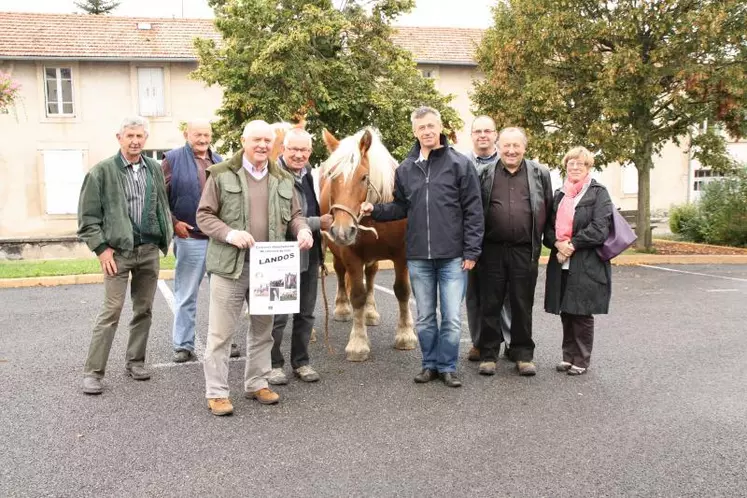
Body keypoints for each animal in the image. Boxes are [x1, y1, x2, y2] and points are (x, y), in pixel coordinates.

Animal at [318, 127, 418, 362]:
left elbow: (402, 291)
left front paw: (405, 335)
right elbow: (357, 295)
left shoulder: (402, 255)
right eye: (331, 176)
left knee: (371, 276)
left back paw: (370, 313)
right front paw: (358, 343)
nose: (342, 231)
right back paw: (342, 309)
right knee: (340, 273)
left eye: (364, 177)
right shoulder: (351, 255)